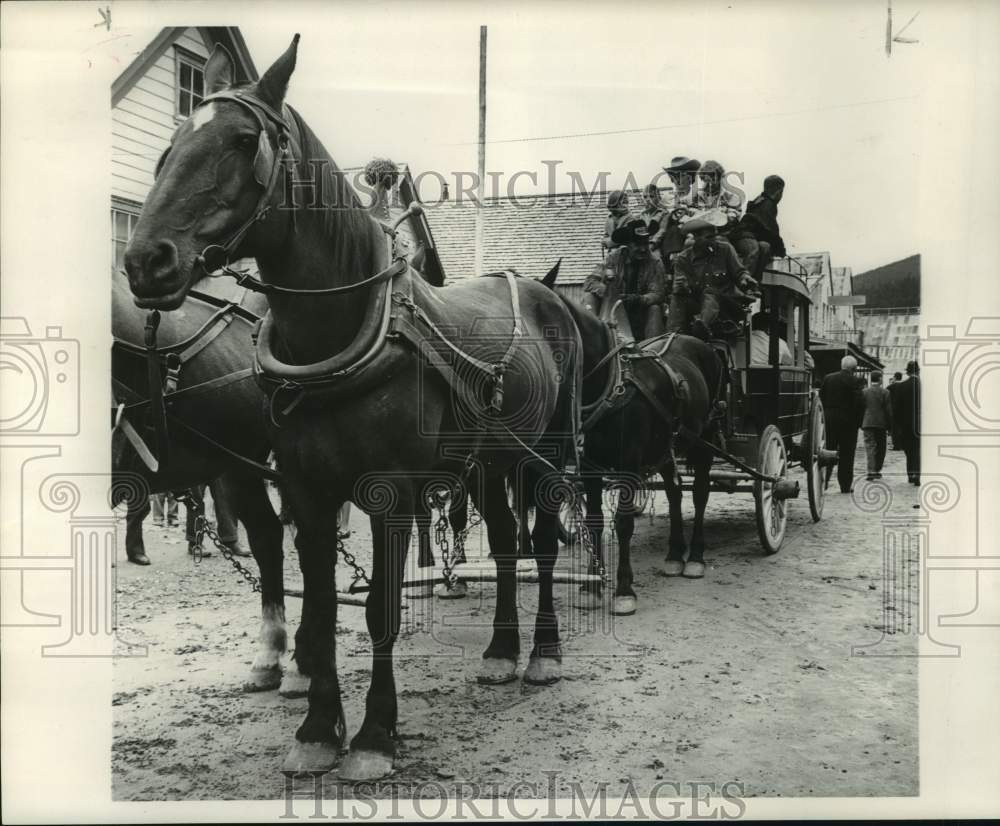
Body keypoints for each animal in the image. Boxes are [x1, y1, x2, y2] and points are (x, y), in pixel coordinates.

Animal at [121, 35, 584, 780]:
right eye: (172, 142)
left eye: (243, 140)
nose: (145, 261)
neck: (341, 339)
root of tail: (541, 292)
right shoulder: (308, 493)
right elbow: (319, 611)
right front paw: (317, 729)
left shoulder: (390, 495)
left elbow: (380, 613)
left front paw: (373, 736)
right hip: (486, 464)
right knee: (508, 543)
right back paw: (500, 650)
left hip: (544, 456)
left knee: (541, 543)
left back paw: (542, 652)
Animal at [544, 270, 724, 604]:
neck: (609, 386)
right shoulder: (590, 468)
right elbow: (595, 520)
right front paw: (593, 582)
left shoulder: (628, 467)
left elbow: (624, 523)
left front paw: (624, 588)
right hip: (666, 448)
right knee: (675, 494)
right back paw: (674, 555)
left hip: (703, 439)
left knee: (700, 493)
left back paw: (695, 557)